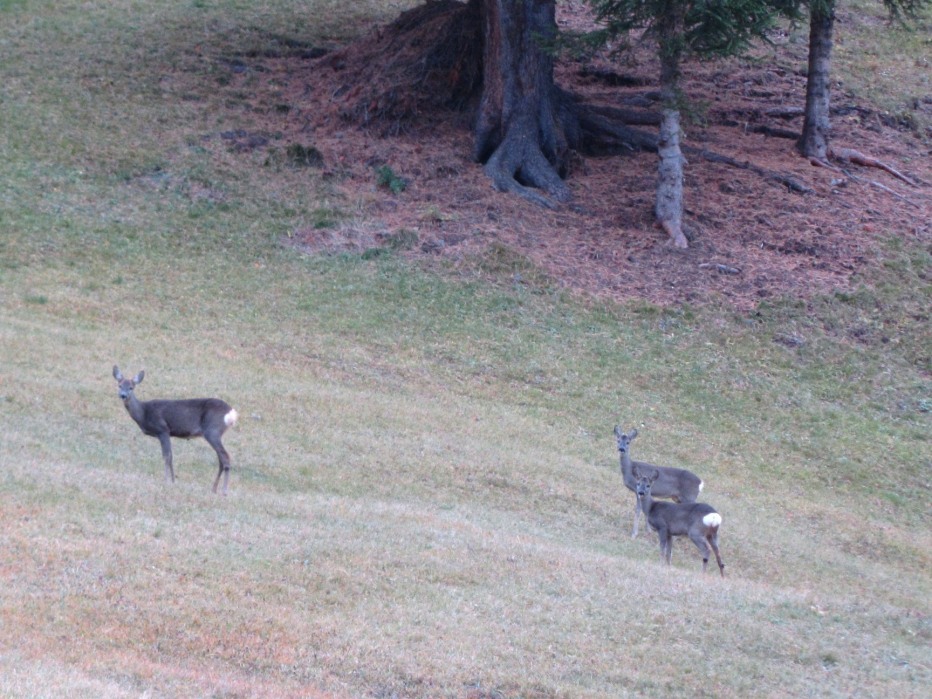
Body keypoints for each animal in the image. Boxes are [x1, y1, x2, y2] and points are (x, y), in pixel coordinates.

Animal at [113, 366, 238, 498]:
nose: (123, 395)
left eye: (131, 387)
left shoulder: (162, 430)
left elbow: (166, 456)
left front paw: (166, 480)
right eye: (119, 385)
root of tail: (232, 413)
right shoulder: (167, 433)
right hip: (215, 433)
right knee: (221, 459)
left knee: (225, 457)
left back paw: (224, 491)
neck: (144, 413)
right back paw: (214, 489)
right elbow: (171, 456)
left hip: (212, 430)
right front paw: (173, 481)